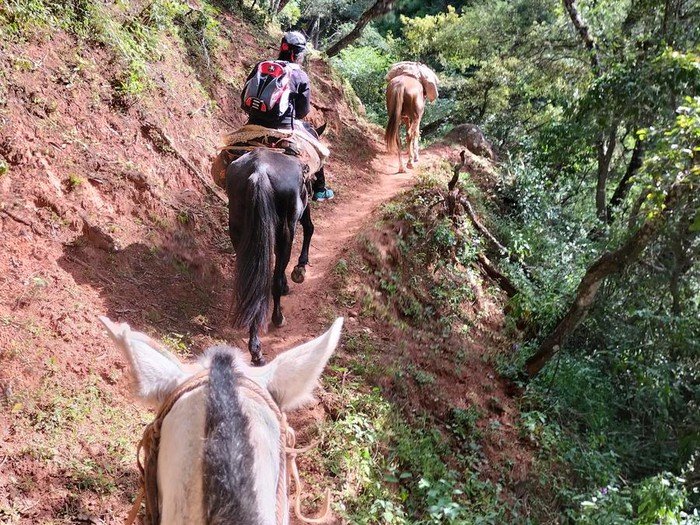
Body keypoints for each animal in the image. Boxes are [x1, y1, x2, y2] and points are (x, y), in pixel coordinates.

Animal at [226, 124, 326, 366]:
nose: (321, 186)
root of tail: (259, 171)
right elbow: (309, 227)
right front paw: (299, 269)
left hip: (238, 229)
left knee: (253, 280)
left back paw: (255, 346)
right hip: (284, 231)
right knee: (274, 277)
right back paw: (276, 319)